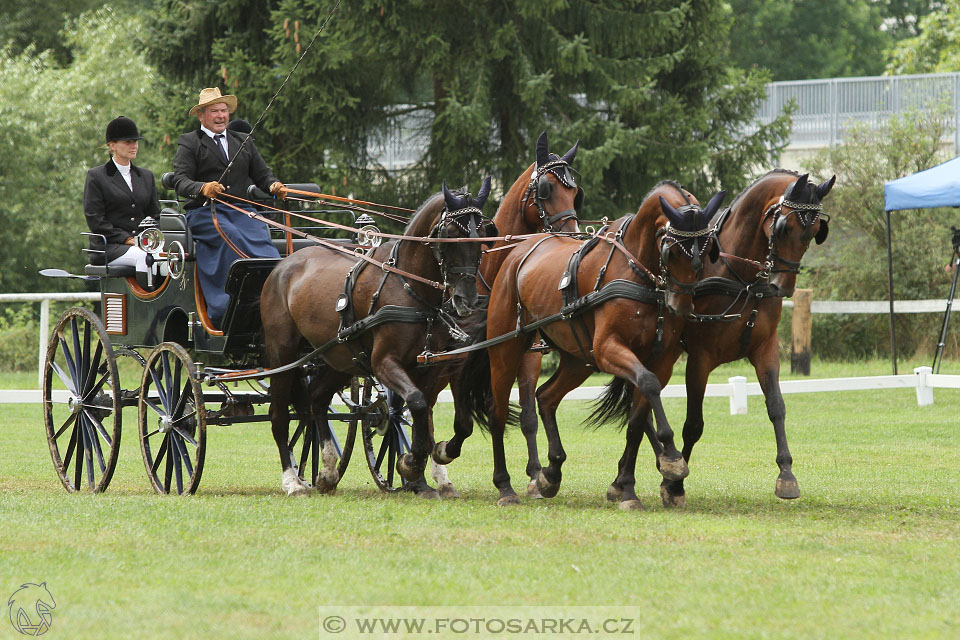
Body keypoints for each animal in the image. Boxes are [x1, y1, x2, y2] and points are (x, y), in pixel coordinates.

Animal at [262, 181, 496, 500]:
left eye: (483, 234)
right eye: (450, 233)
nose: (466, 299)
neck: (409, 287)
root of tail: (283, 265)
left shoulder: (430, 367)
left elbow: (424, 415)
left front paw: (421, 472)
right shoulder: (384, 362)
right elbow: (417, 403)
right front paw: (412, 465)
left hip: (340, 357)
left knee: (316, 399)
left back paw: (327, 472)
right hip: (282, 356)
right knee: (279, 416)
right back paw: (293, 481)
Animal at [462, 182, 724, 508]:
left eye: (707, 249)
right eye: (672, 249)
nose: (681, 305)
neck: (637, 272)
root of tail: (515, 256)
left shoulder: (659, 358)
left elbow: (637, 420)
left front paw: (628, 488)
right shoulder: (608, 348)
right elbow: (648, 385)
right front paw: (672, 457)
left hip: (578, 358)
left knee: (546, 397)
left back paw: (551, 472)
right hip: (507, 349)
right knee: (497, 411)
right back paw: (505, 486)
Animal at [608, 171, 832, 510]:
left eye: (816, 230)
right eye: (783, 226)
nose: (782, 285)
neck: (741, 278)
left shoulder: (765, 351)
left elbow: (776, 407)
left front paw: (786, 475)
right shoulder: (700, 359)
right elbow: (693, 424)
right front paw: (674, 486)